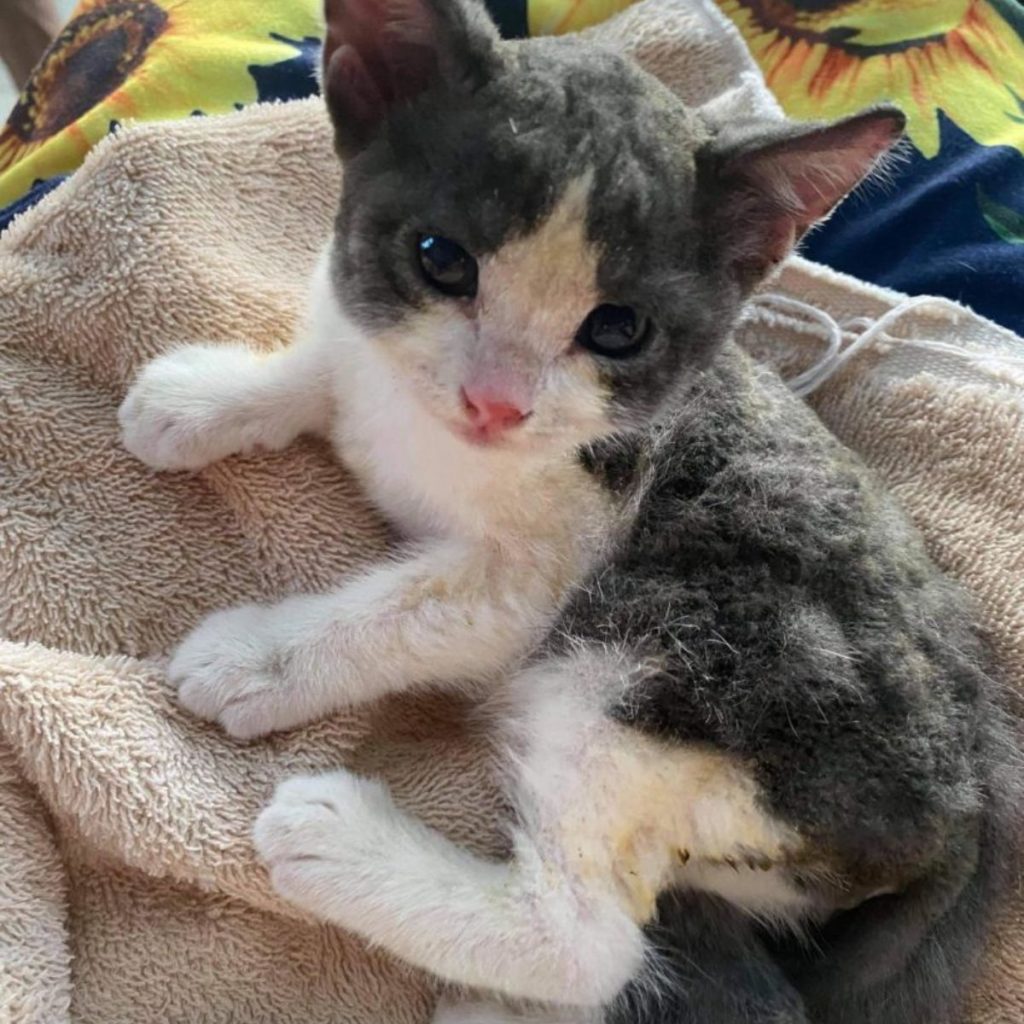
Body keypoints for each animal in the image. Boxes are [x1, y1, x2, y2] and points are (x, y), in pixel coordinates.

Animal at [117, 2, 1015, 1024]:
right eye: (440, 260)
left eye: (617, 330)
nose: (496, 403)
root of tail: (968, 810)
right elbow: (338, 365)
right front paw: (205, 399)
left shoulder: (557, 559)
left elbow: (417, 608)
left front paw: (258, 658)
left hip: (688, 651)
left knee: (591, 940)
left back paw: (343, 846)